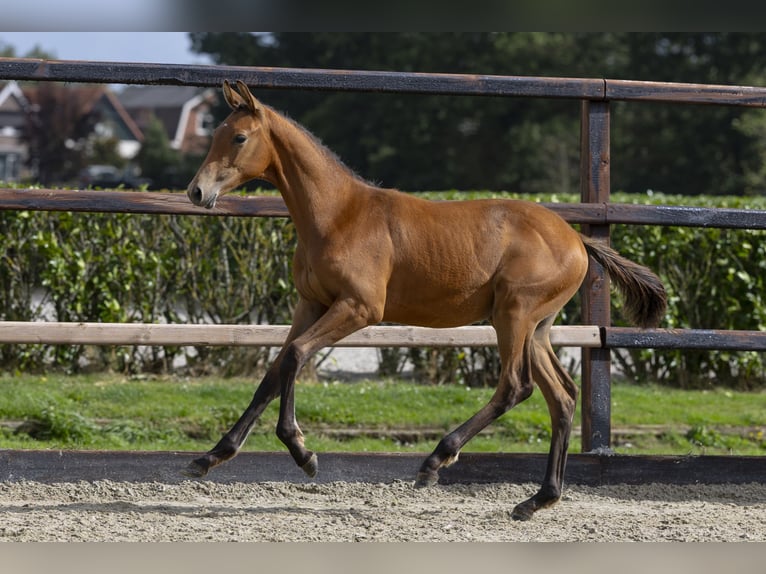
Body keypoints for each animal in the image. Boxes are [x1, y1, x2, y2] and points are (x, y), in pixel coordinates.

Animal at [185, 80, 667, 520]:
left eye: (239, 137)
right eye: (215, 133)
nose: (196, 192)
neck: (338, 215)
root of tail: (578, 240)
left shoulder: (359, 308)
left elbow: (297, 355)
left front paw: (303, 452)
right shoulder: (311, 304)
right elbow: (274, 370)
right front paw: (210, 457)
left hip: (512, 314)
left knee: (516, 386)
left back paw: (436, 460)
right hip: (536, 327)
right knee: (562, 397)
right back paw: (537, 499)